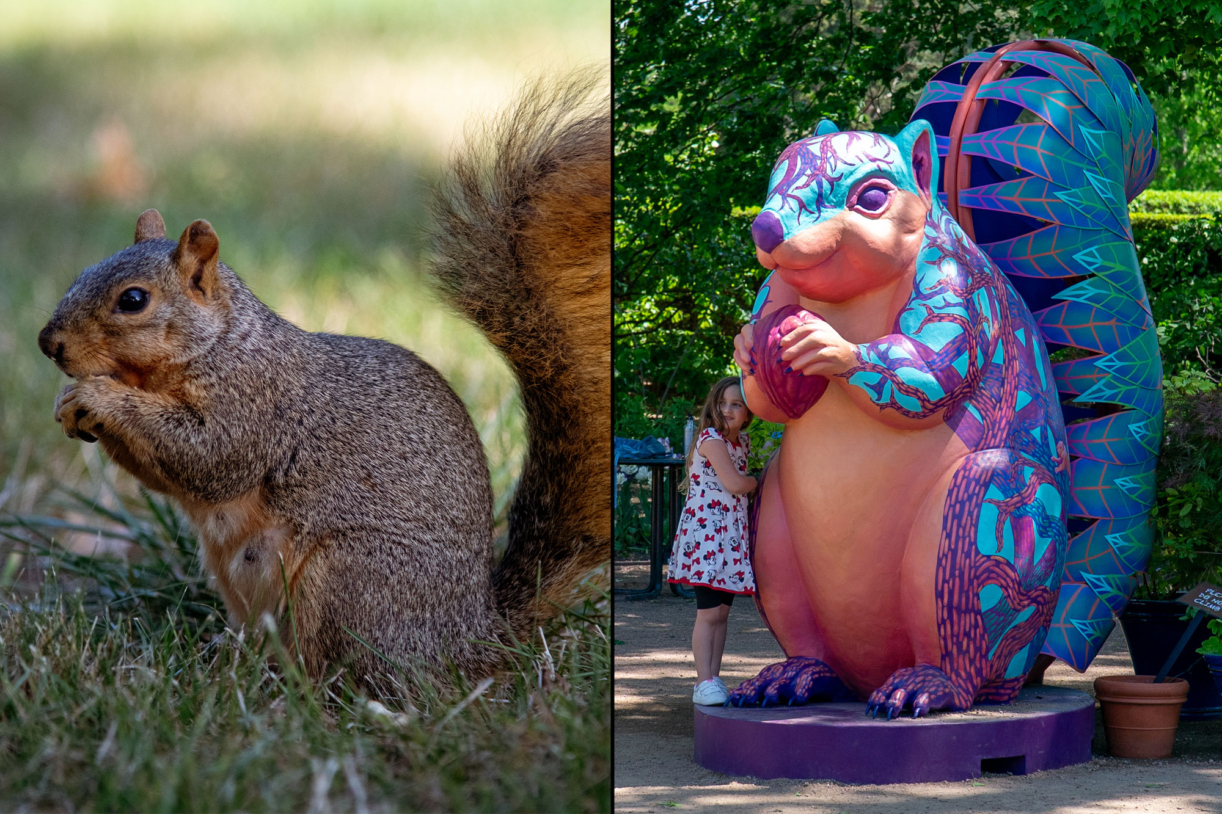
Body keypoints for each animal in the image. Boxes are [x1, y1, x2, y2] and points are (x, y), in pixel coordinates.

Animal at [36, 73, 610, 686]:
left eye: (133, 300)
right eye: (80, 274)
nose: (49, 343)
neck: (217, 345)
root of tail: (470, 637)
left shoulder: (254, 405)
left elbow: (208, 457)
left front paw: (97, 396)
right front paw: (69, 404)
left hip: (348, 581)